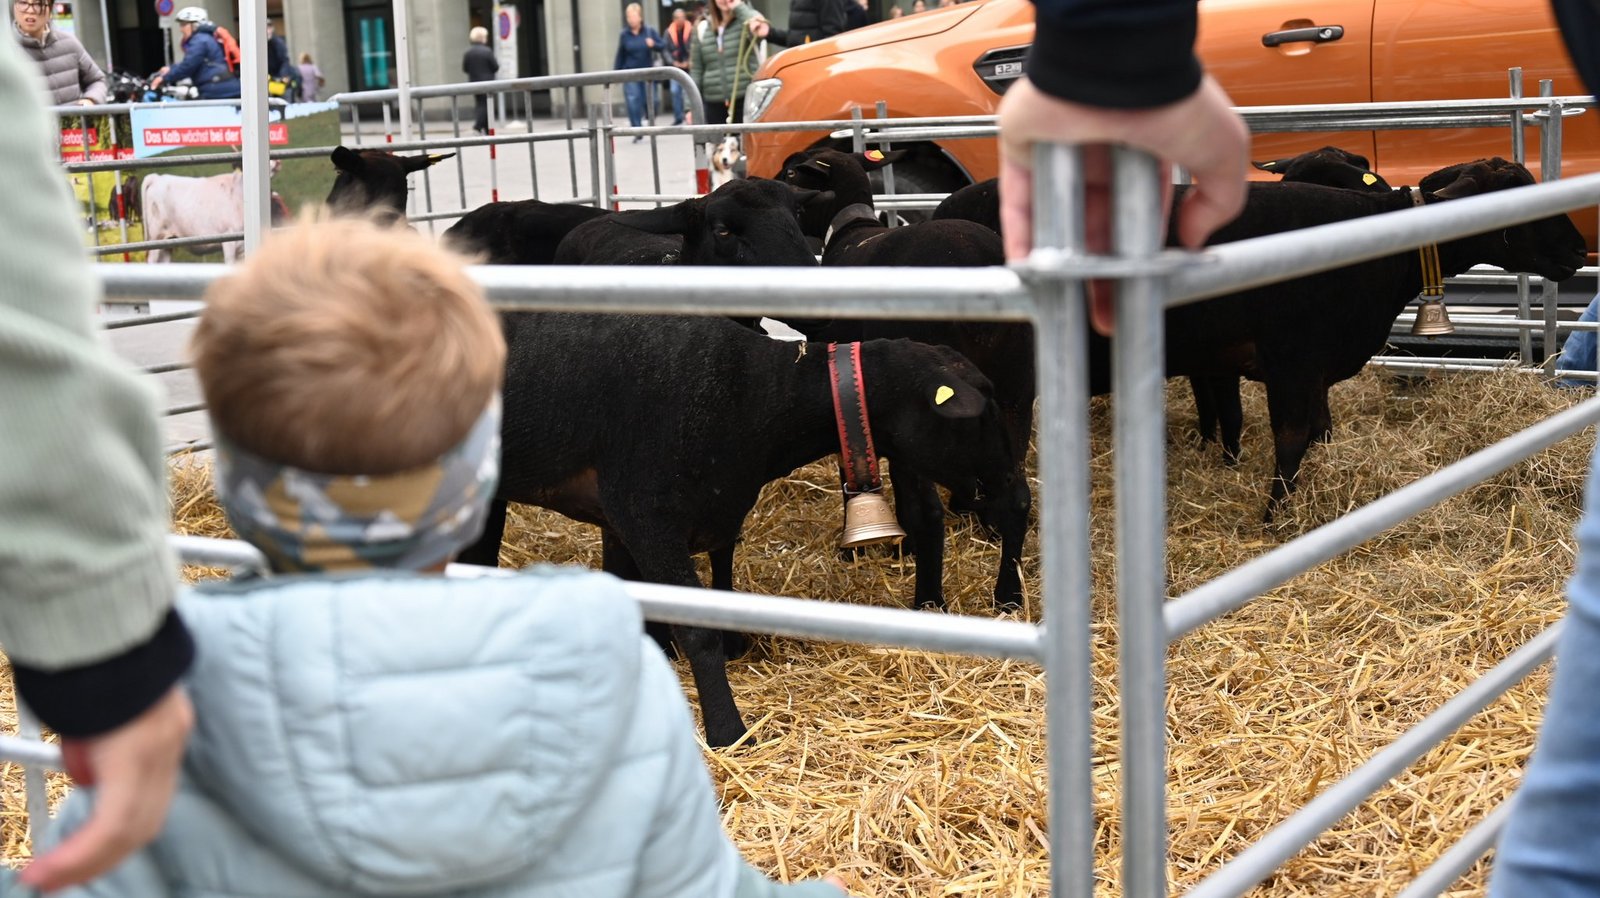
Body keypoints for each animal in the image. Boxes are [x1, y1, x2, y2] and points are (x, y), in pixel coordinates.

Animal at [455, 312, 1022, 747]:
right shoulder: (644, 514)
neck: (760, 397)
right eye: (981, 410)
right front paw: (728, 731)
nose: (1016, 490)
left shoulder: (675, 515)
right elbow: (696, 628)